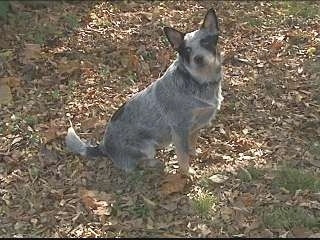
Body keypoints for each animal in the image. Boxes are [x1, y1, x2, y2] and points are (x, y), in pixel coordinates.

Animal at [65, 7, 222, 176]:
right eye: (187, 50)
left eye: (205, 42)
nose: (198, 58)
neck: (200, 81)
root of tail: (104, 147)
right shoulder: (180, 129)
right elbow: (183, 156)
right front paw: (188, 173)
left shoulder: (196, 125)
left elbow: (191, 145)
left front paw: (194, 154)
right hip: (146, 148)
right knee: (140, 163)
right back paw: (155, 163)